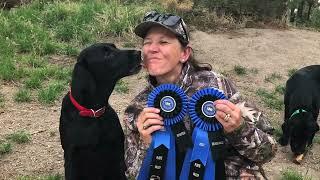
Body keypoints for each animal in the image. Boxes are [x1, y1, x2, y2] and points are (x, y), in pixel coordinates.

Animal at [59, 43, 141, 179]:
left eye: (115, 47)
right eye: (107, 54)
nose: (138, 53)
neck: (93, 113)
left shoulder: (117, 155)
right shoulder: (71, 157)